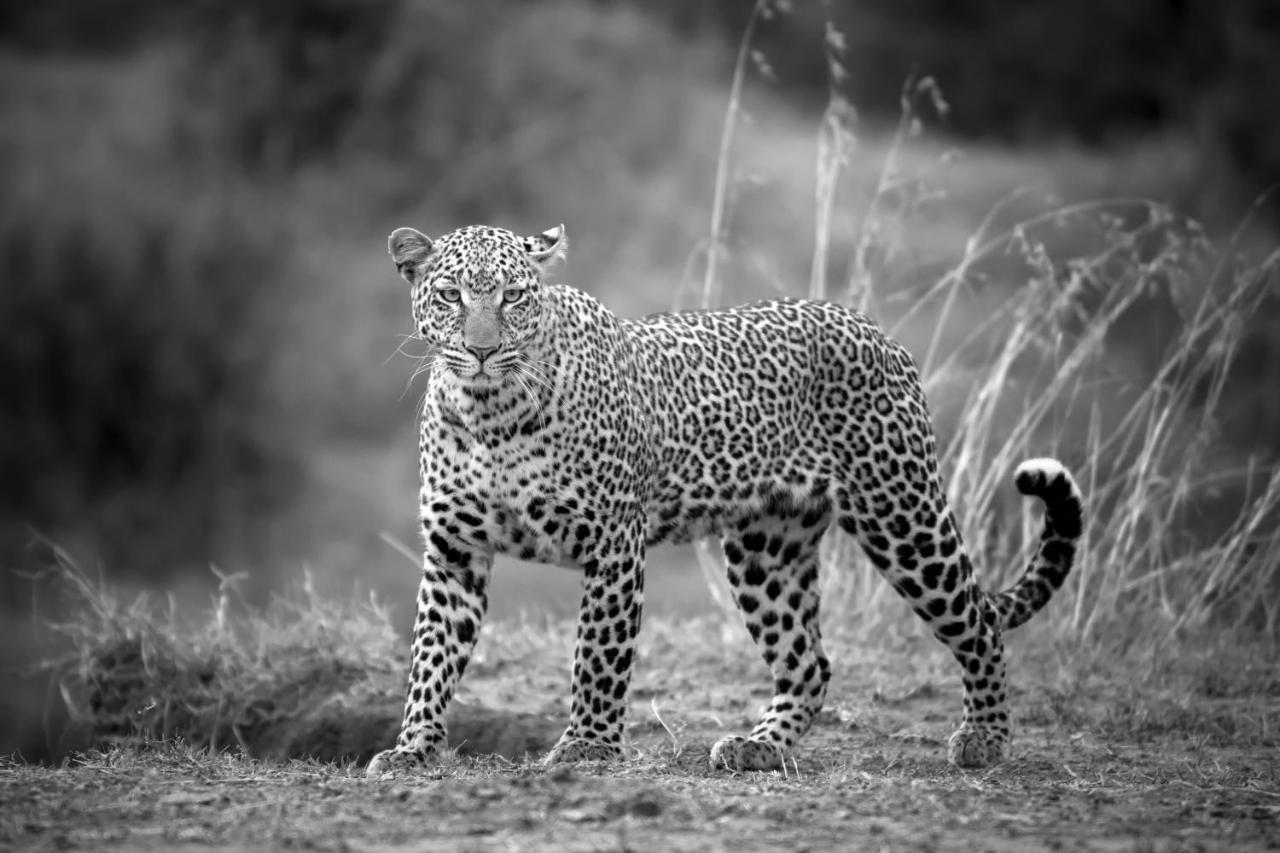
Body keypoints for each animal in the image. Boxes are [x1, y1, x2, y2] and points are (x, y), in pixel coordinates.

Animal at [366, 222, 1085, 773]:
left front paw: (587, 747)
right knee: (809, 661)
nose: (482, 350)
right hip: (768, 551)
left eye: (514, 296)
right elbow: (431, 658)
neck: (489, 412)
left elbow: (598, 655)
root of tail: (875, 329)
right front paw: (413, 749)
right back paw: (758, 747)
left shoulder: (613, 543)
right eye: (450, 295)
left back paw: (984, 738)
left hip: (901, 513)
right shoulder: (454, 551)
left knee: (979, 619)